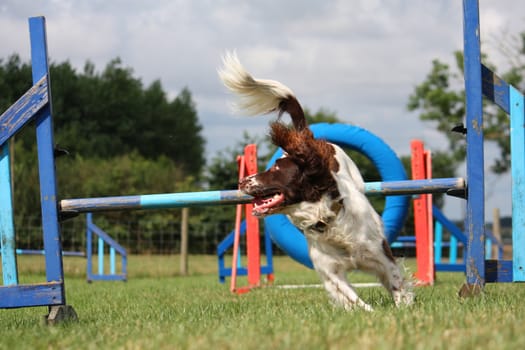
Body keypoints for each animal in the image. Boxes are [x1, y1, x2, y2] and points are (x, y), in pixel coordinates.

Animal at [218, 52, 414, 312]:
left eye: (275, 168)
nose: (241, 181)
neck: (329, 219)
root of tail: (310, 139)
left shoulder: (381, 255)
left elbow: (397, 282)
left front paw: (404, 309)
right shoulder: (330, 272)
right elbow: (354, 300)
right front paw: (370, 313)